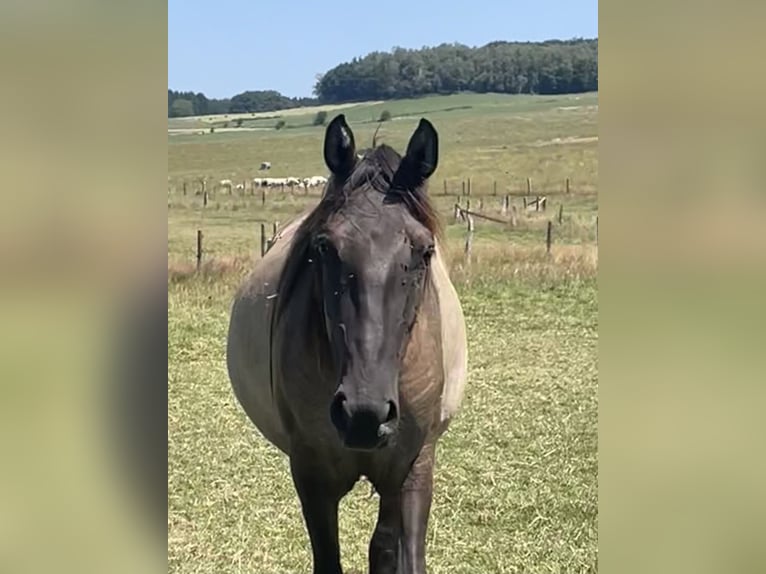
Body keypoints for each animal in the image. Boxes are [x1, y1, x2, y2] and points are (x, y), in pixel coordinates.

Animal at [226, 114, 468, 574]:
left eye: (425, 250)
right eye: (323, 247)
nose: (363, 413)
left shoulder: (411, 470)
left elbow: (396, 553)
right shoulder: (312, 475)